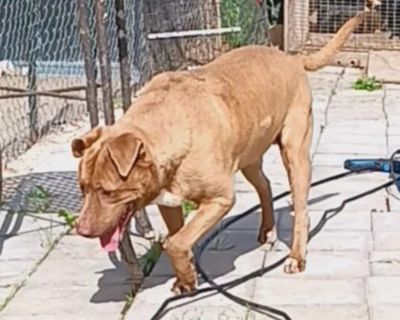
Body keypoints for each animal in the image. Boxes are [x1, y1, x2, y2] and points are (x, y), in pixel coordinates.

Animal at [71, 11, 366, 292]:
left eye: (109, 192)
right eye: (82, 188)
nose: (81, 231)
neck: (170, 127)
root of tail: (291, 58)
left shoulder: (220, 199)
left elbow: (175, 243)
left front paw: (187, 275)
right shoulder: (169, 203)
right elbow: (179, 239)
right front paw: (186, 279)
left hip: (295, 153)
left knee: (301, 210)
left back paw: (296, 257)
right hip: (250, 158)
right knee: (265, 185)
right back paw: (268, 230)